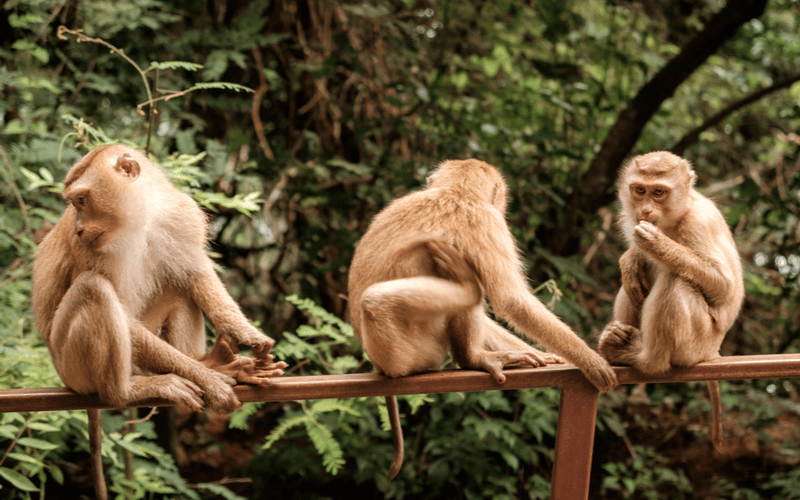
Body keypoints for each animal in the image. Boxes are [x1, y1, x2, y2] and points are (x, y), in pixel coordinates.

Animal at [31, 144, 288, 499]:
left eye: (81, 200)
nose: (80, 228)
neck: (141, 217)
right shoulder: (88, 248)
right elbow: (123, 313)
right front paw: (209, 381)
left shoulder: (182, 213)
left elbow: (195, 274)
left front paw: (246, 333)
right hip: (72, 366)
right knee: (94, 288)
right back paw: (126, 391)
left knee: (178, 287)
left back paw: (212, 362)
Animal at [348, 159, 619, 478]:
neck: (455, 192)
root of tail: (379, 363)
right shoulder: (488, 221)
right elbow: (511, 300)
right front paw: (591, 362)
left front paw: (546, 355)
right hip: (409, 350)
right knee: (379, 301)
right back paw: (472, 354)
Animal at [597, 151, 744, 449]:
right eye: (640, 190)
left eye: (659, 192)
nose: (645, 210)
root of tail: (712, 352)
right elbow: (635, 265)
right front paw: (630, 260)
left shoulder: (700, 223)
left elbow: (725, 287)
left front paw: (658, 245)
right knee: (633, 287)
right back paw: (616, 341)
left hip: (696, 345)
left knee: (676, 281)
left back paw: (645, 359)